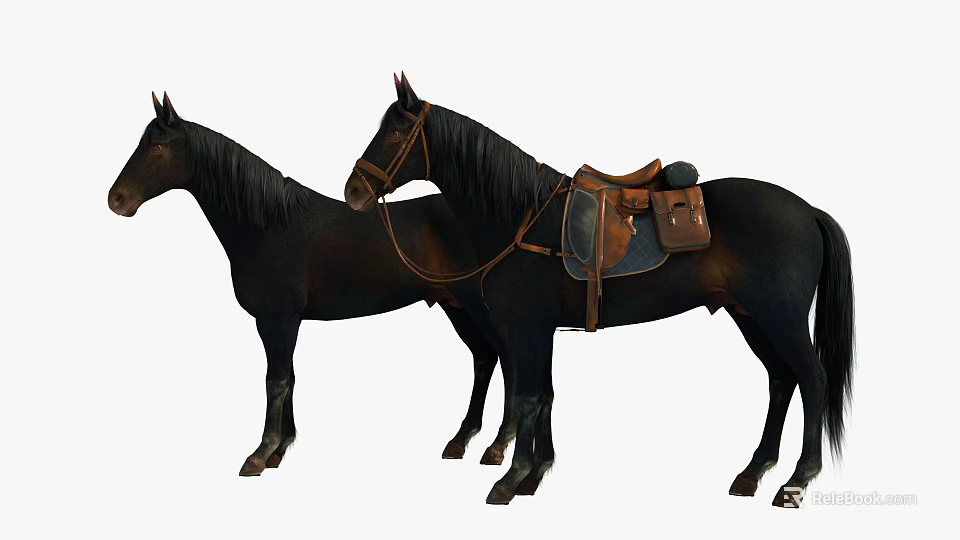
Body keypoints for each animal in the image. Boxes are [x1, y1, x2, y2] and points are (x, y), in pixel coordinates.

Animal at [107, 92, 520, 477]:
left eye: (158, 147)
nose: (117, 199)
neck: (269, 224)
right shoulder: (277, 322)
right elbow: (288, 377)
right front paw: (279, 451)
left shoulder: (278, 319)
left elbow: (276, 381)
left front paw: (260, 453)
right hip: (456, 306)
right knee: (484, 359)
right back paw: (461, 439)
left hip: (478, 305)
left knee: (509, 357)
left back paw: (499, 445)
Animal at [343, 73, 856, 507]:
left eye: (395, 133)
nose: (354, 192)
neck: (523, 219)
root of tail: (807, 210)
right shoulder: (540, 330)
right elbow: (544, 395)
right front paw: (535, 474)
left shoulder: (528, 328)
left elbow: (529, 397)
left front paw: (510, 479)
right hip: (748, 314)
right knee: (781, 379)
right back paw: (754, 472)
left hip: (779, 315)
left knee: (812, 379)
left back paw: (796, 481)